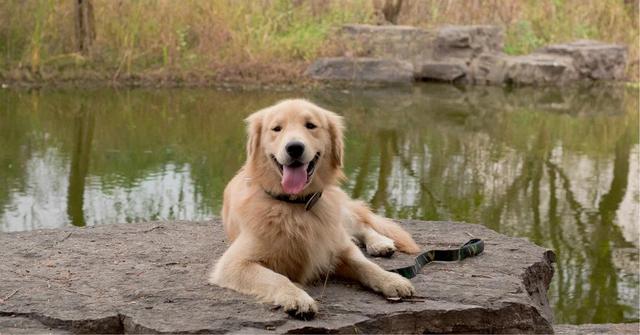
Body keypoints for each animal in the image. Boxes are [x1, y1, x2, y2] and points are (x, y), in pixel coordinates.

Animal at [209, 99, 420, 320]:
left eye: (310, 125)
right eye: (277, 128)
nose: (294, 148)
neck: (296, 205)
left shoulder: (338, 247)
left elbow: (365, 264)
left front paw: (391, 279)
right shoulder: (234, 263)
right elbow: (277, 278)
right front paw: (298, 298)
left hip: (340, 216)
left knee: (362, 225)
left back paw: (380, 243)